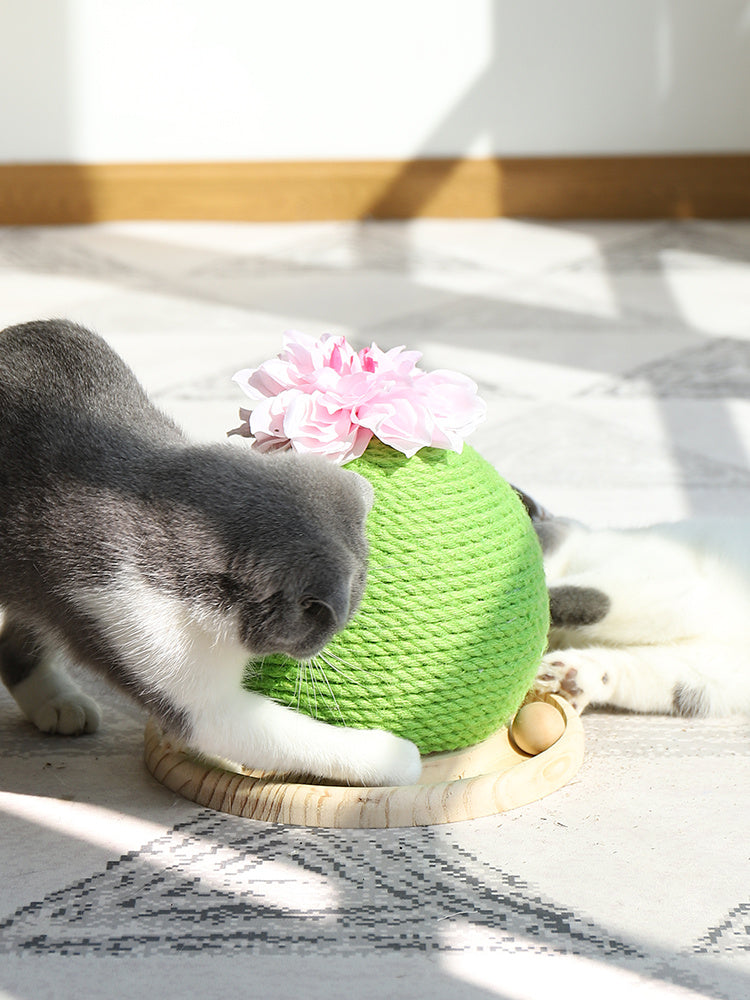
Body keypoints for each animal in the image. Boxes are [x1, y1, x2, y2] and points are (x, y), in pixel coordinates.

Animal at [0, 320, 424, 788]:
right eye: (330, 621)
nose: (320, 650)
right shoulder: (140, 629)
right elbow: (279, 734)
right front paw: (396, 756)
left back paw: (56, 703)